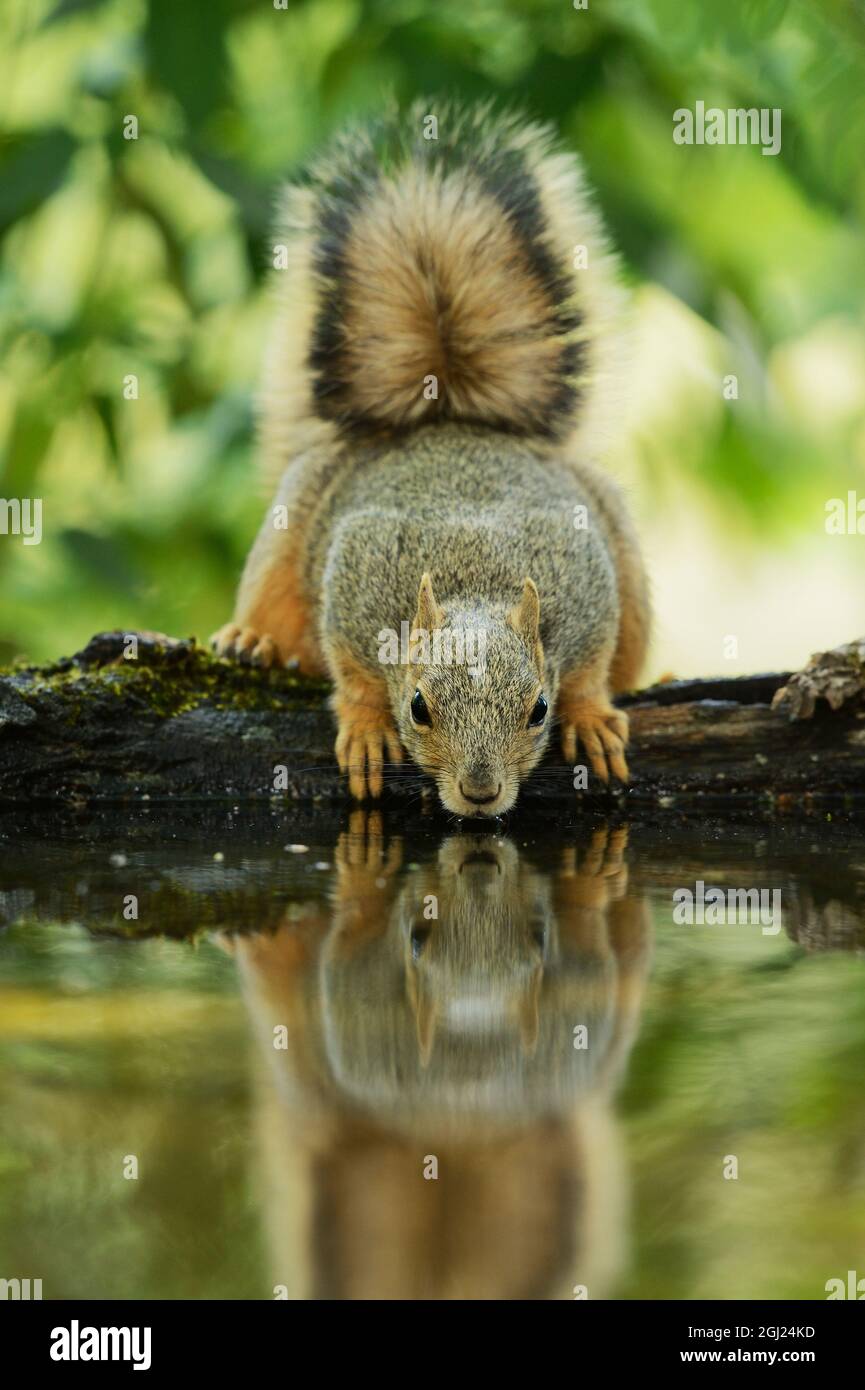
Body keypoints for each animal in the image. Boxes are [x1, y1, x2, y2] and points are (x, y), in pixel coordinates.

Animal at [212, 102, 650, 817]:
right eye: (418, 707)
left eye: (538, 709)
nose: (480, 792)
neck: (473, 578)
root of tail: (447, 418)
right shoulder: (356, 582)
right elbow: (354, 672)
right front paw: (367, 728)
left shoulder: (588, 584)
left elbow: (589, 668)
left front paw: (589, 718)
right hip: (291, 525)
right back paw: (255, 639)